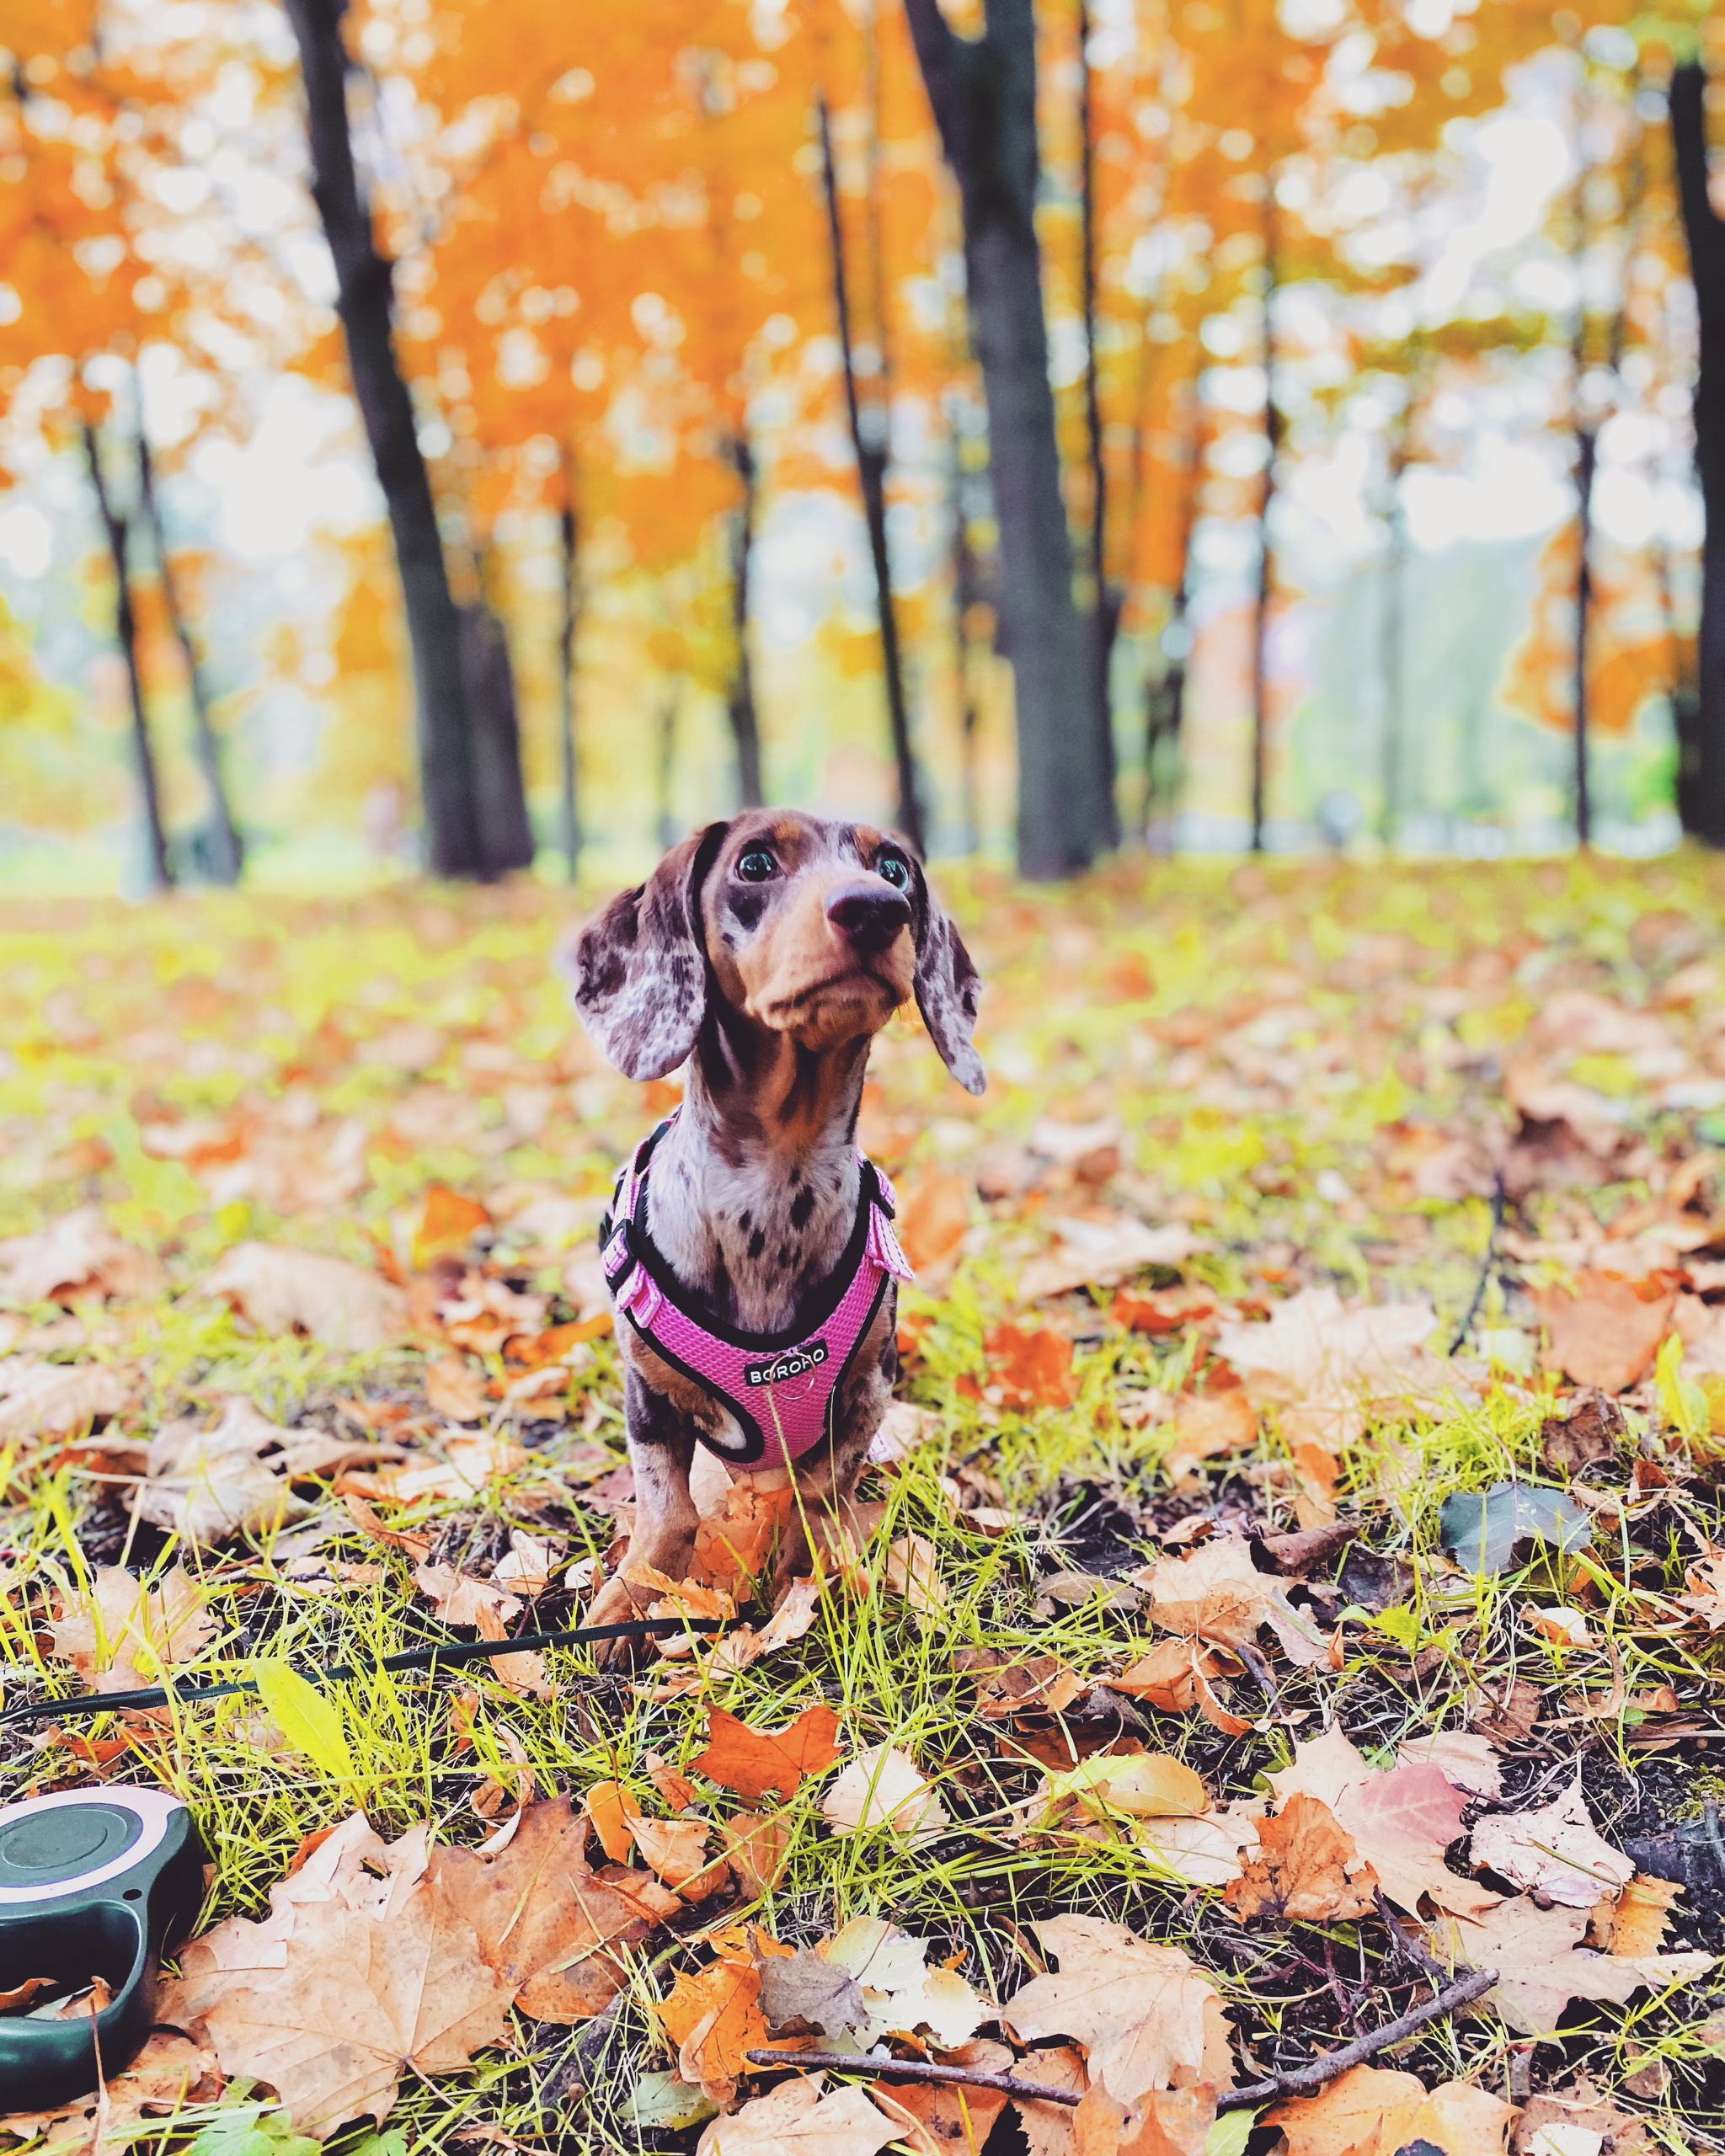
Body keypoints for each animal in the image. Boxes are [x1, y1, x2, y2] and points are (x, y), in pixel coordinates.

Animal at [560, 810, 983, 1646]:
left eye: (894, 868)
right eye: (755, 862)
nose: (876, 908)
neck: (773, 1197)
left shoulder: (865, 1390)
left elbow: (819, 1496)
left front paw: (815, 1578)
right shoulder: (647, 1396)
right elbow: (668, 1510)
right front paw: (629, 1603)